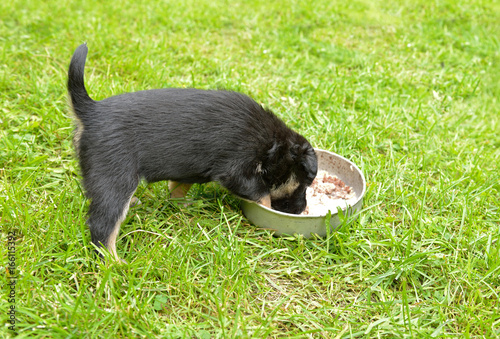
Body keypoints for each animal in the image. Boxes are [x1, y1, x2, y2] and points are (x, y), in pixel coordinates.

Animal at [67, 43, 316, 262]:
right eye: (304, 184)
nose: (301, 211)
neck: (272, 145)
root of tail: (91, 111)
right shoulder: (236, 169)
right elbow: (262, 194)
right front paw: (268, 213)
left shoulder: (187, 169)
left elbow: (178, 187)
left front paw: (182, 204)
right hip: (117, 177)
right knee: (103, 225)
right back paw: (114, 263)